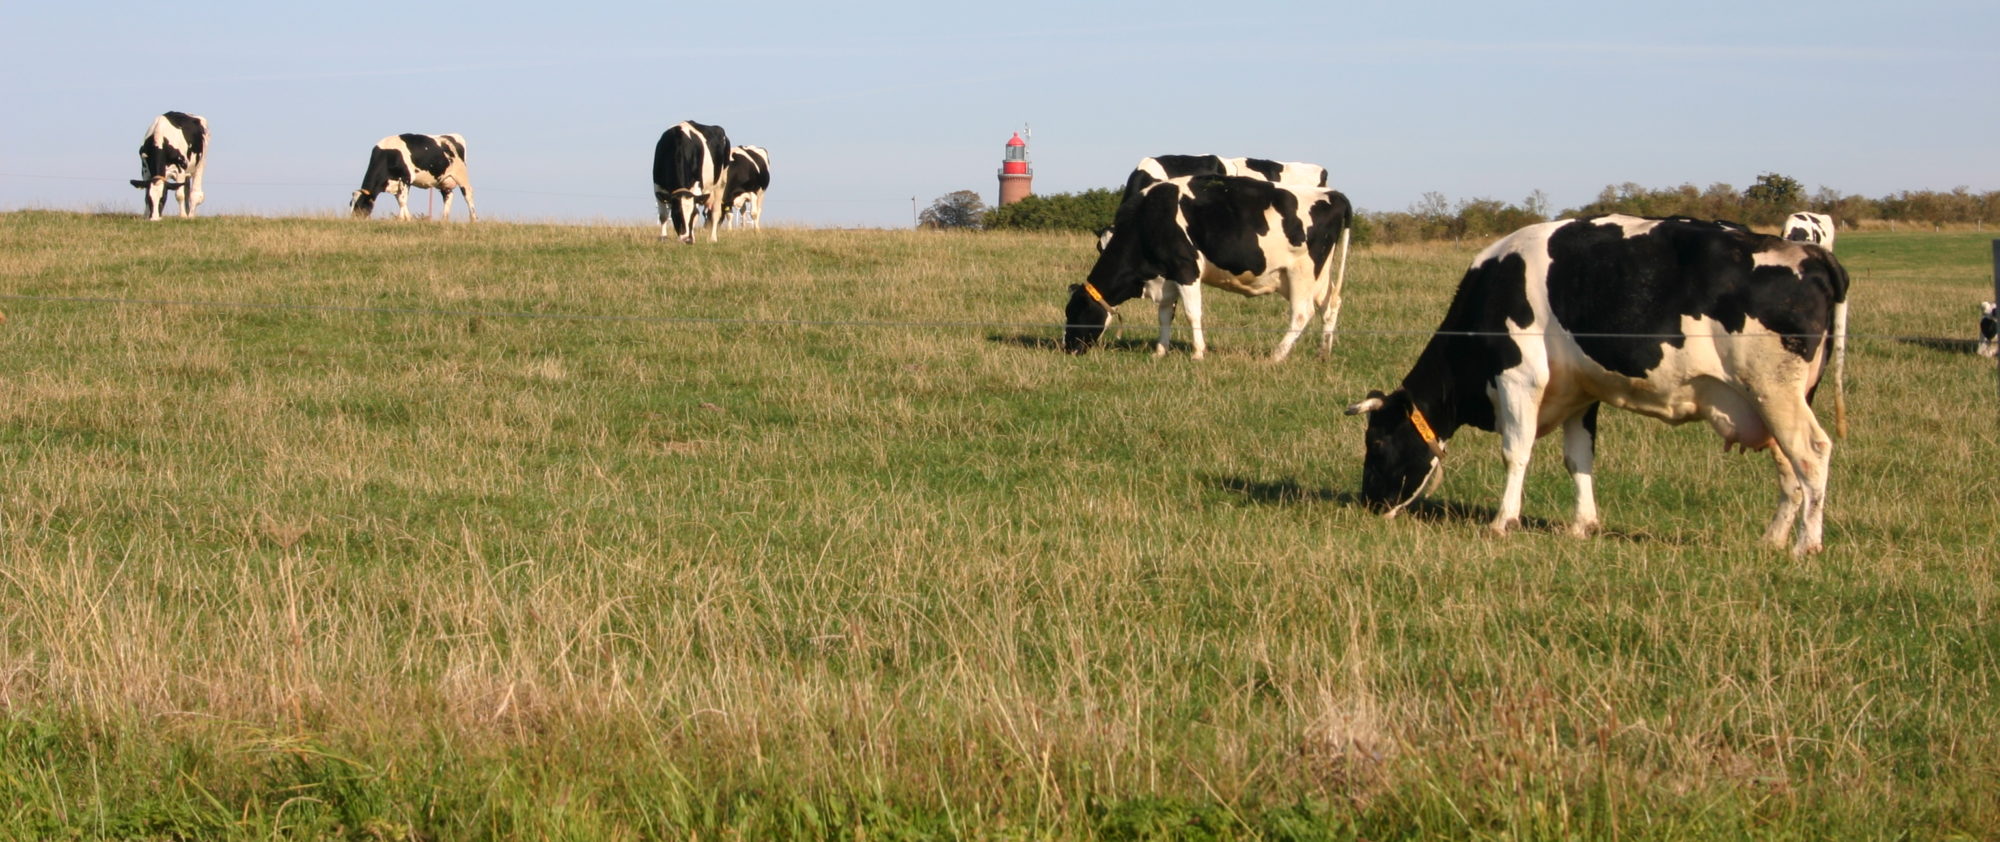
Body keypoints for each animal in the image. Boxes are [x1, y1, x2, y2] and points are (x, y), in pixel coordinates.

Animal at [348, 133, 476, 221]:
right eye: (351, 204)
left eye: (359, 205)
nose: (352, 220)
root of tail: (451, 135)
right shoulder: (395, 184)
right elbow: (400, 200)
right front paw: (407, 218)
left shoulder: (406, 178)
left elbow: (402, 200)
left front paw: (402, 219)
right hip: (443, 180)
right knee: (448, 196)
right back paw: (444, 220)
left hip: (461, 175)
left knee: (468, 194)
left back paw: (473, 219)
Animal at [1064, 174, 1360, 360]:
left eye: (1074, 313)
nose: (1068, 349)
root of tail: (1332, 193)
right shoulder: (1168, 274)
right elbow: (1164, 314)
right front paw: (1160, 350)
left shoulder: (1186, 268)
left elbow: (1192, 313)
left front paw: (1198, 352)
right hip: (1314, 276)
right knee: (1330, 305)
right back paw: (1323, 353)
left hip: (1303, 273)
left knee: (1302, 313)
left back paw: (1277, 355)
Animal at [1352, 213, 1848, 556]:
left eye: (1376, 444)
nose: (1367, 504)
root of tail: (1813, 255)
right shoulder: (1580, 392)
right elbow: (1579, 460)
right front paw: (1583, 525)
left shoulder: (1519, 378)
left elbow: (1516, 451)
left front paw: (1503, 521)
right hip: (1775, 400)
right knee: (1790, 469)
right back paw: (1773, 539)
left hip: (1774, 390)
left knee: (1813, 453)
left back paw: (1806, 545)